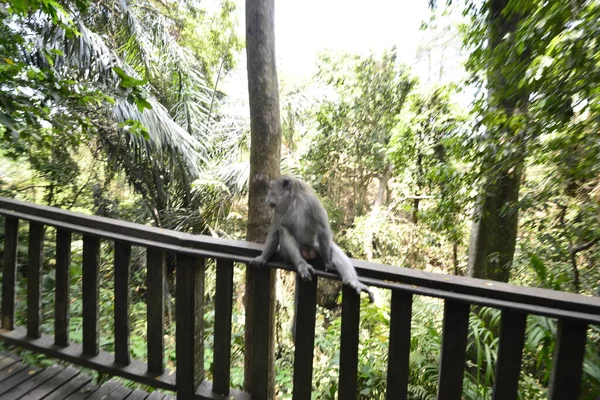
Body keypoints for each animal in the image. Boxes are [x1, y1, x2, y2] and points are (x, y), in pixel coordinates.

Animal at [250, 173, 372, 302]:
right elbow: (275, 232)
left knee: (330, 247)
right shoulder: (279, 208)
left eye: (271, 188)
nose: (267, 198)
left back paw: (353, 281)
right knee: (283, 231)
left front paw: (328, 263)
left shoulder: (312, 202)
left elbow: (323, 229)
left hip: (317, 248)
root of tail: (308, 251)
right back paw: (302, 265)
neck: (293, 199)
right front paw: (263, 258)